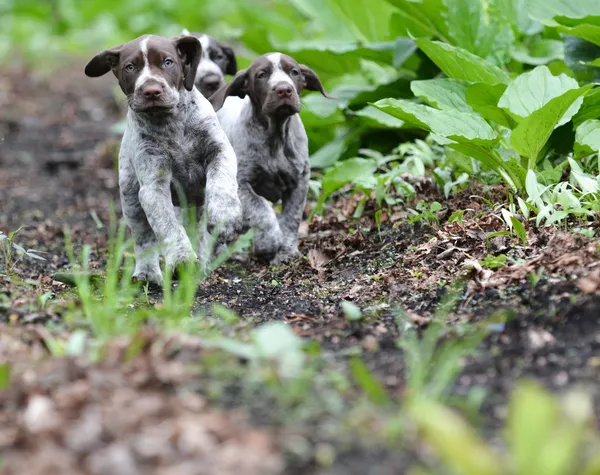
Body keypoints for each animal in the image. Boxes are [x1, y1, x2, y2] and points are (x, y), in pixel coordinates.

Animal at [85, 35, 244, 286]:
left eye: (168, 62)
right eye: (130, 67)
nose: (151, 90)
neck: (170, 122)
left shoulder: (220, 152)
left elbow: (222, 182)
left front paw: (225, 218)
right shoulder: (153, 186)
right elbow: (168, 227)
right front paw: (181, 259)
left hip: (195, 206)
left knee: (198, 232)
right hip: (131, 200)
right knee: (144, 238)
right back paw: (148, 272)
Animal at [210, 54, 332, 266]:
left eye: (294, 72)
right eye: (261, 75)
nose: (284, 89)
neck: (275, 135)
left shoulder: (300, 181)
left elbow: (290, 218)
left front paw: (286, 250)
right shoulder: (241, 185)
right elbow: (261, 211)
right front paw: (269, 242)